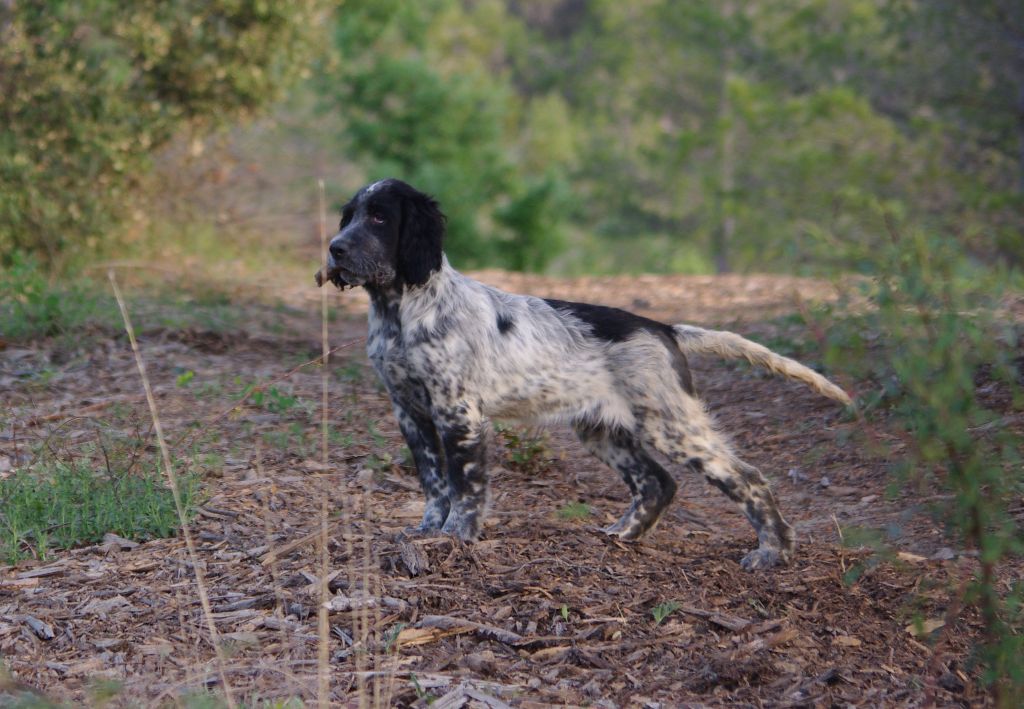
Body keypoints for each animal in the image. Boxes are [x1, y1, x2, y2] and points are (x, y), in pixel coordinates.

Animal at [315, 178, 851, 569]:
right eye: (349, 216)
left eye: (380, 217)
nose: (335, 249)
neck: (401, 310)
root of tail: (664, 328)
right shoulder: (411, 413)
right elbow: (433, 482)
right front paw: (427, 532)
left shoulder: (458, 413)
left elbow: (465, 486)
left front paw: (455, 538)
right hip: (602, 430)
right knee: (658, 483)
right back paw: (622, 536)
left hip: (671, 426)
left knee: (747, 477)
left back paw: (773, 551)